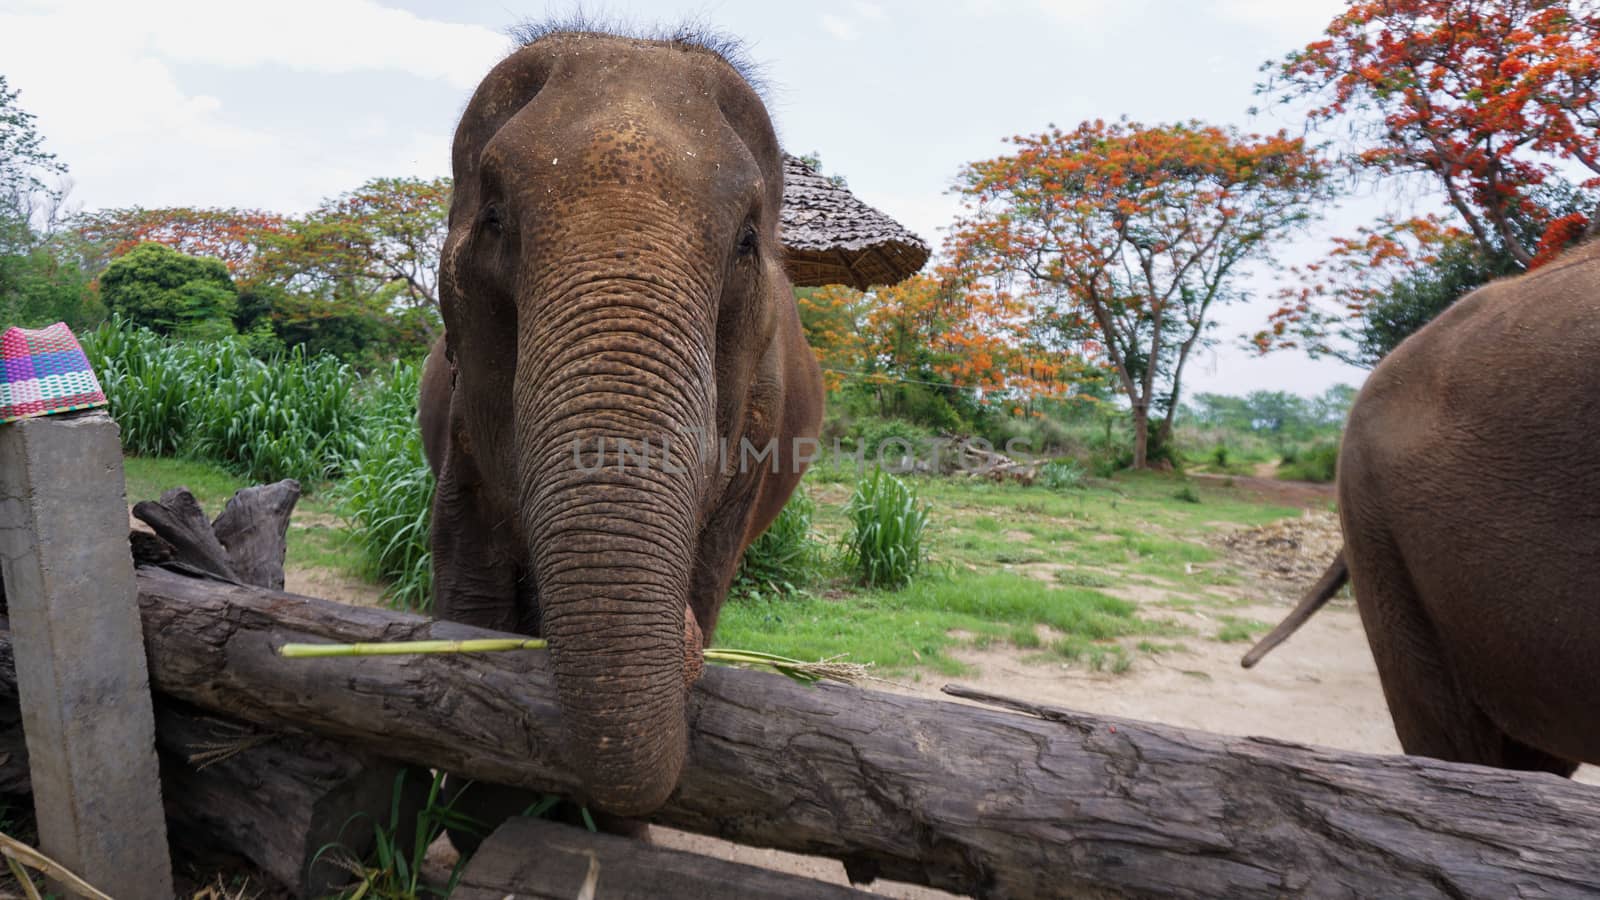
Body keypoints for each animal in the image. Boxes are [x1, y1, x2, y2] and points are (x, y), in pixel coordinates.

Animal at [419, 26, 825, 819]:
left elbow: (710, 569)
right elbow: (470, 590)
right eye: (494, 219)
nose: (687, 639)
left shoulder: (756, 441)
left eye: (746, 242)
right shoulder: (462, 425)